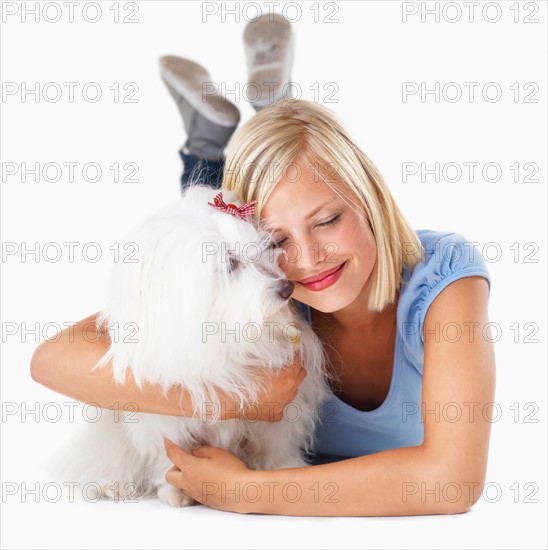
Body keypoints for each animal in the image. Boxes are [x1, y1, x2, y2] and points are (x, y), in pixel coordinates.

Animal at [61, 184, 332, 508]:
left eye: (264, 249)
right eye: (229, 264)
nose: (286, 287)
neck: (225, 334)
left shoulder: (278, 413)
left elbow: (273, 441)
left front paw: (283, 468)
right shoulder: (165, 417)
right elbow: (170, 453)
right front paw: (175, 490)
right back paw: (112, 484)